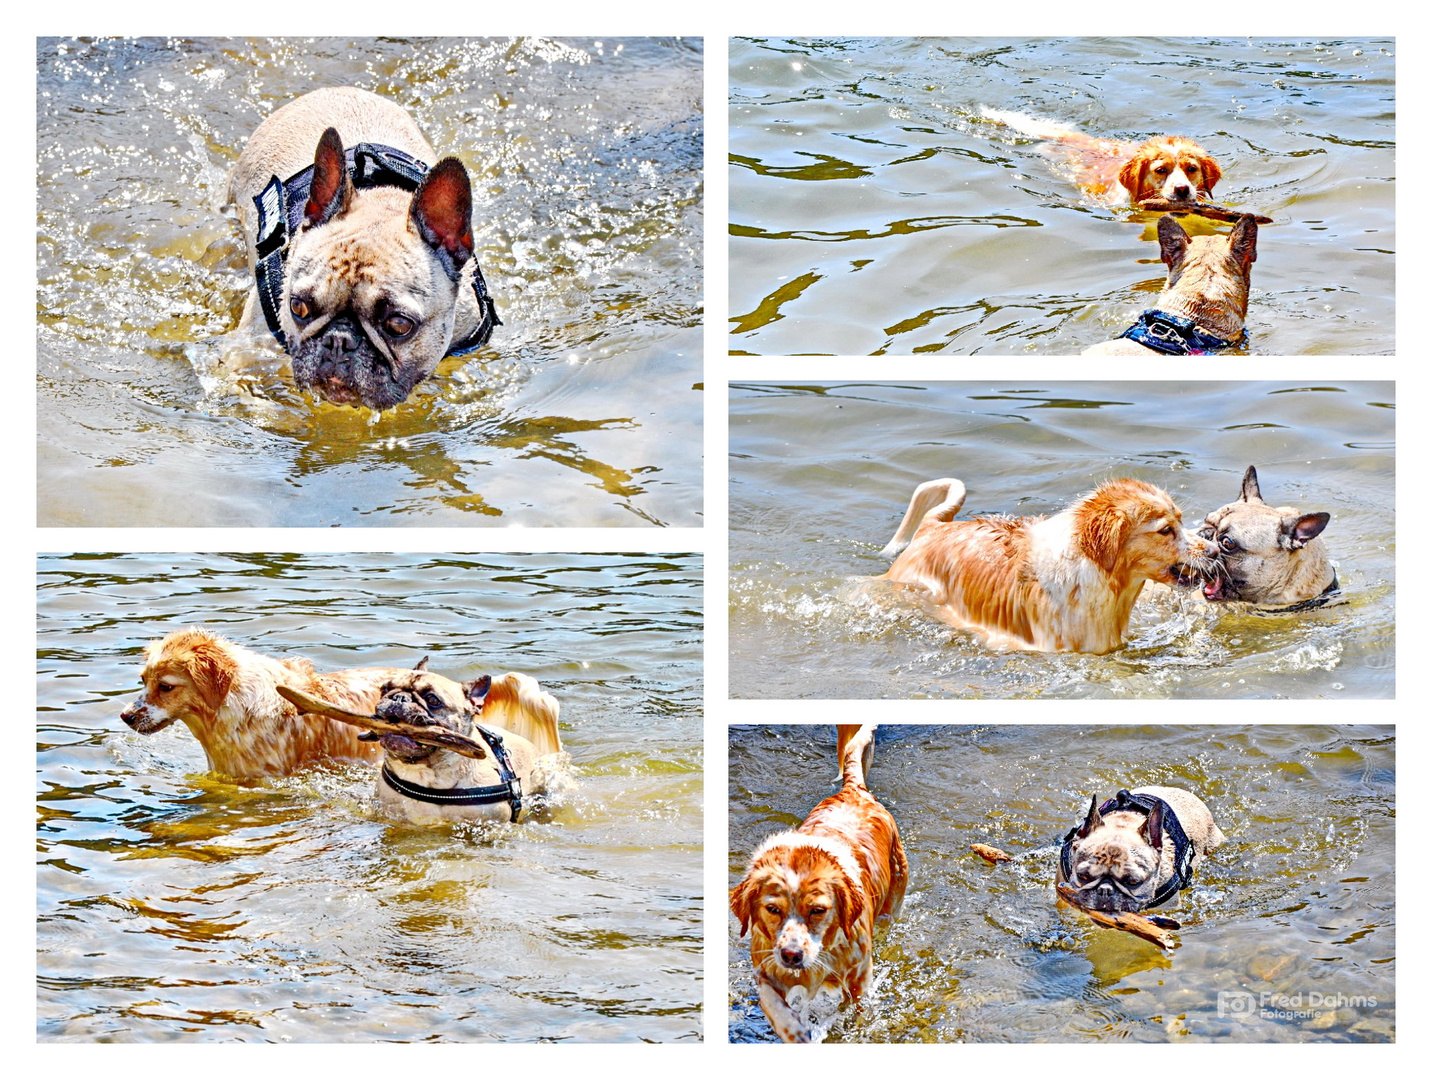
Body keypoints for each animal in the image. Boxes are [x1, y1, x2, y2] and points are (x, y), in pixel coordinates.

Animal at [727, 719, 905, 1037]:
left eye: (818, 910)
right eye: (772, 909)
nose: (792, 955)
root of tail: (854, 789)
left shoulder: (859, 975)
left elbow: (859, 1010)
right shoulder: (766, 965)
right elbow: (776, 1007)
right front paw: (797, 1033)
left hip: (893, 900)